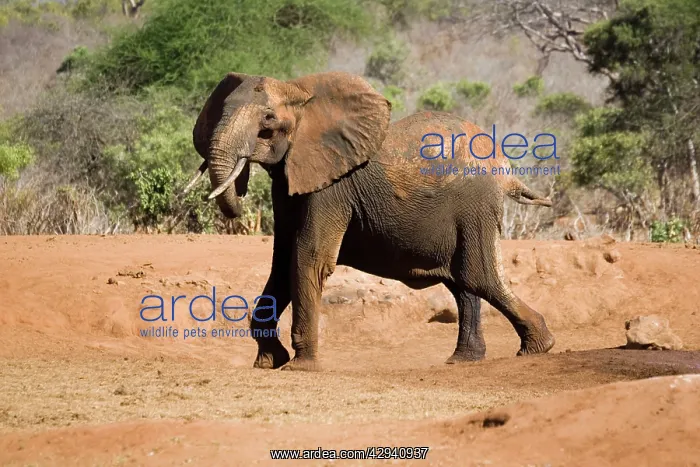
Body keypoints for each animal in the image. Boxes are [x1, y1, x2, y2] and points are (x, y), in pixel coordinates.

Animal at [184, 70, 556, 371]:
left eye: (268, 120)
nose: (238, 196)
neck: (300, 91)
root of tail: (504, 166)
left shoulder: (333, 185)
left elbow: (308, 257)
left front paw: (300, 367)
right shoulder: (290, 180)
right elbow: (282, 261)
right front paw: (268, 362)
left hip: (474, 206)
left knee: (479, 277)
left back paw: (539, 347)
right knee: (462, 282)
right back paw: (464, 360)